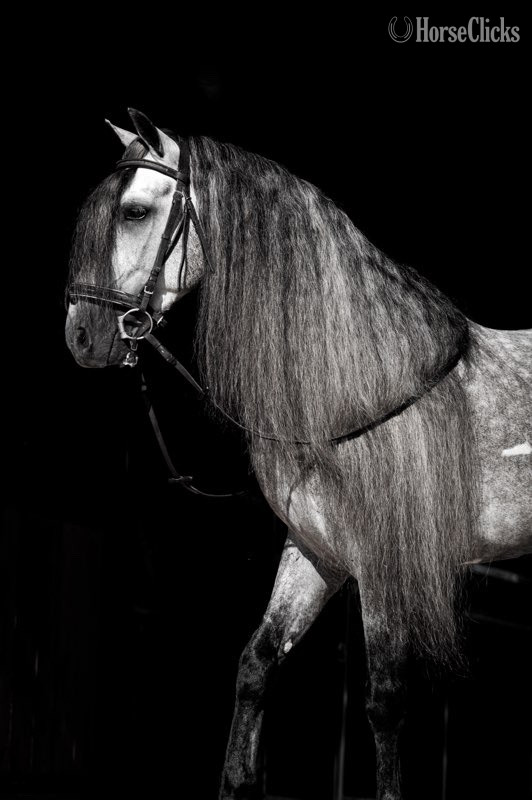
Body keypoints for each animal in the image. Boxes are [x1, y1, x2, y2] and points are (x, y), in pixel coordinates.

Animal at [65, 109, 531, 800]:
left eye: (135, 212)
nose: (80, 336)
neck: (362, 382)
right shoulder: (317, 553)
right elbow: (256, 664)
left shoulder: (383, 565)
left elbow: (386, 699)